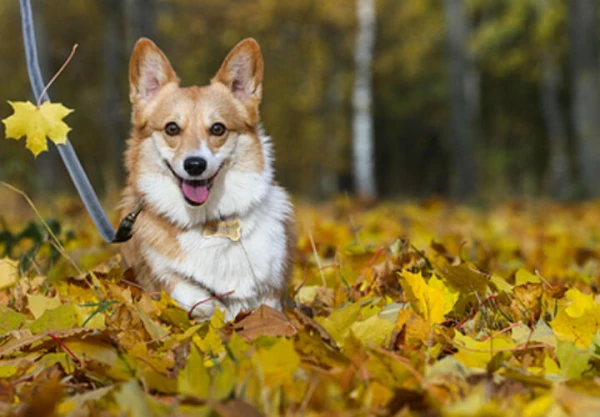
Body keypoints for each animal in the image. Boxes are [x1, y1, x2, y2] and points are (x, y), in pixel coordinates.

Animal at [120, 37, 296, 320]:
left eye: (218, 129)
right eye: (172, 128)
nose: (194, 165)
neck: (208, 221)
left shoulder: (270, 289)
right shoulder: (166, 278)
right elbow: (197, 299)